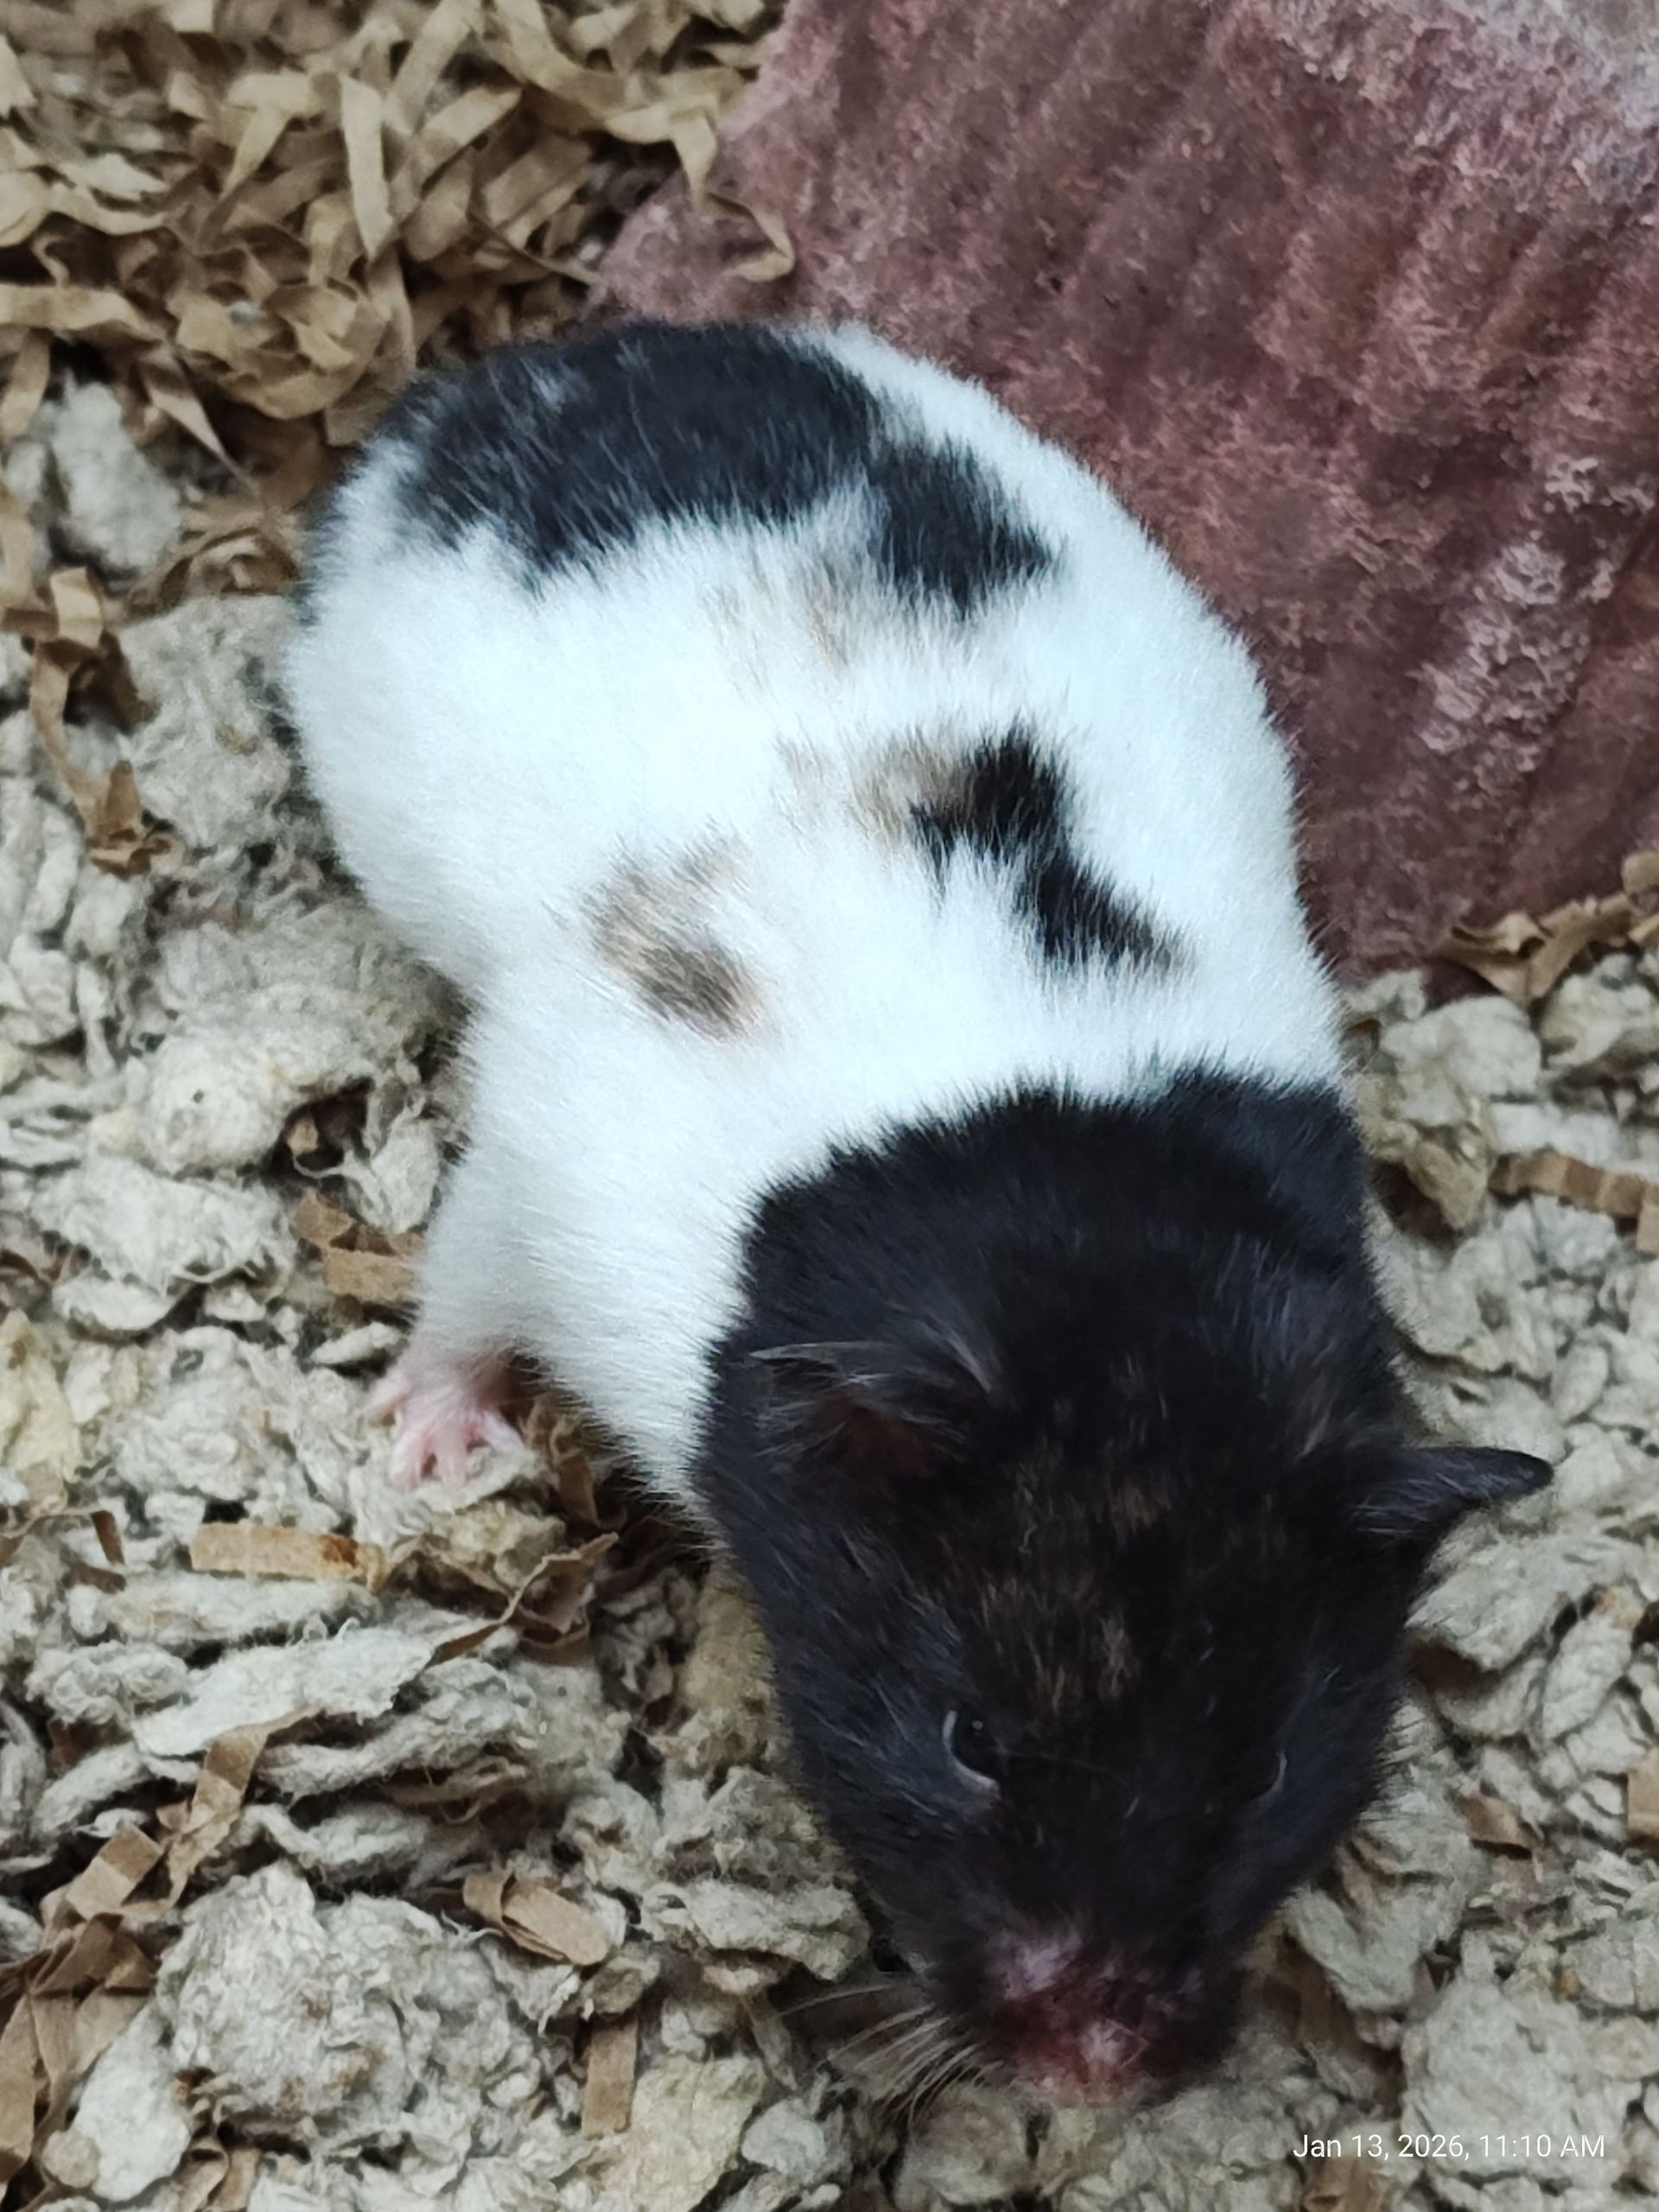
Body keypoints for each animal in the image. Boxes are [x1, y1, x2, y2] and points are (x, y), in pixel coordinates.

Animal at [284, 317, 1551, 2106]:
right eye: (969, 1740)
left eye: (1266, 1766)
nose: (1098, 2078)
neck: (1077, 1229)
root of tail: (526, 365)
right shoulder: (538, 1167)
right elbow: (462, 1288)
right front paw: (428, 1454)